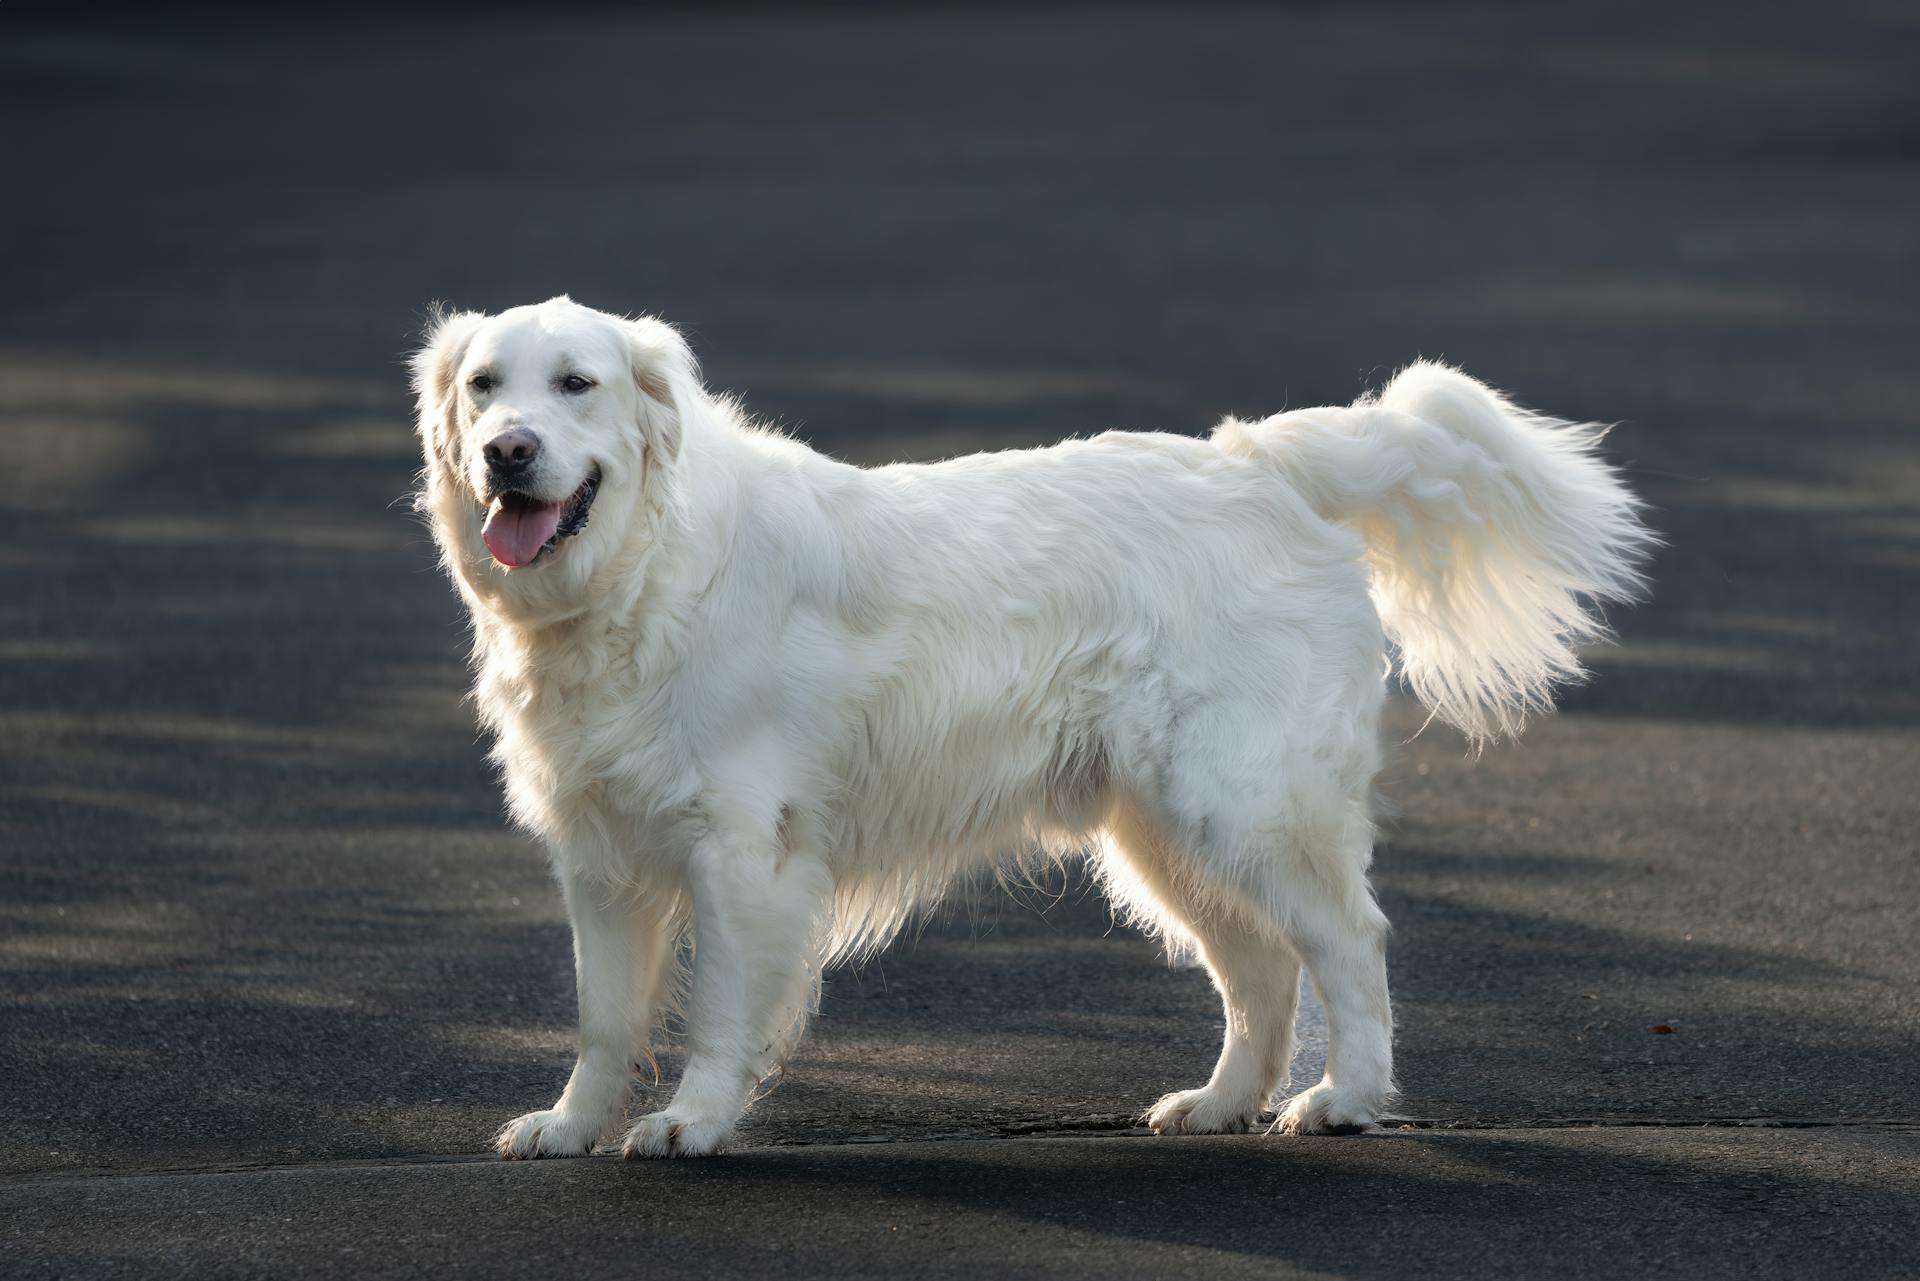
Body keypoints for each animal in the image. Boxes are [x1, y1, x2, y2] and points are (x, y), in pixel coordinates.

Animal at [408, 295, 1651, 1160]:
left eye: (577, 384)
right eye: (483, 386)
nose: (508, 450)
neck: (647, 569)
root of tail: (1258, 464)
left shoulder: (740, 851)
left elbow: (714, 1010)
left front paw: (693, 1123)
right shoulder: (601, 858)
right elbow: (603, 1019)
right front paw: (571, 1127)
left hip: (1241, 804)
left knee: (1349, 943)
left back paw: (1343, 1100)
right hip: (1164, 834)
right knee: (1258, 970)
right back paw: (1221, 1104)